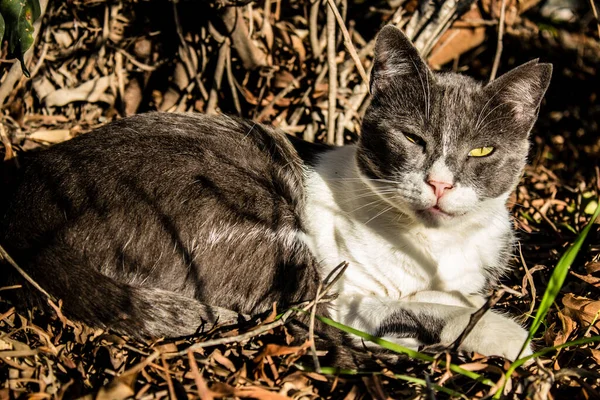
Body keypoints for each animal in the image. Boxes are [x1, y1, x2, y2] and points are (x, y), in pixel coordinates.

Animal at [0, 25, 552, 362]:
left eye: (481, 150)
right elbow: (391, 309)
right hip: (261, 228)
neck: (433, 249)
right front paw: (510, 336)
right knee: (298, 312)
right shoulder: (344, 292)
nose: (440, 182)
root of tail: (25, 209)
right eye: (413, 138)